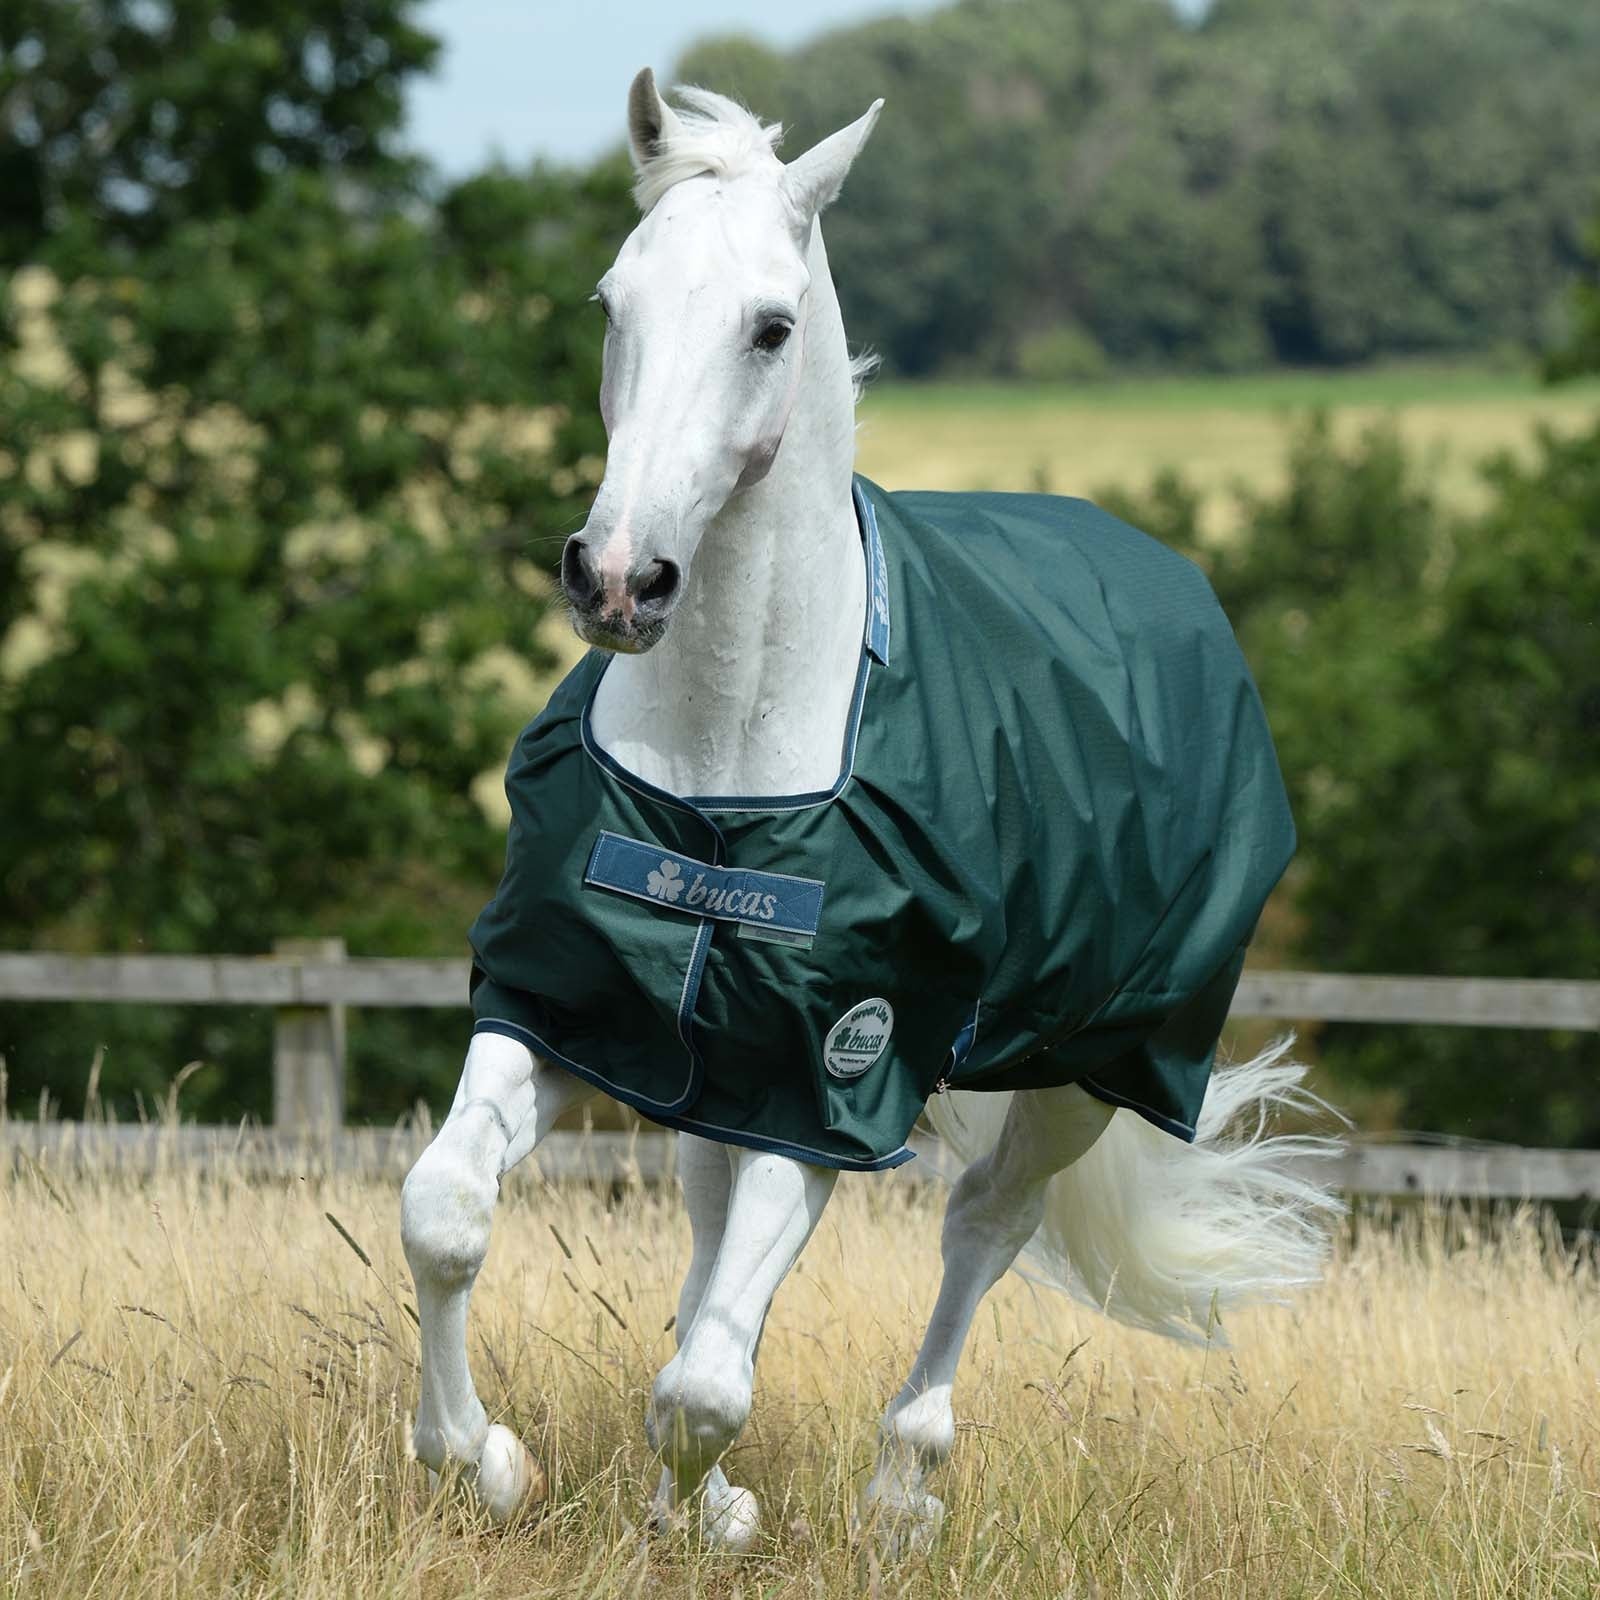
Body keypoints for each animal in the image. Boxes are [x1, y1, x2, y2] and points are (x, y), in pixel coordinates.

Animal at [399, 69, 1342, 1556]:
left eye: (771, 327)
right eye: (613, 301)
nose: (617, 580)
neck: (728, 761)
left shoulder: (840, 1076)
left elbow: (705, 1388)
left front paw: (706, 1510)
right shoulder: (567, 1010)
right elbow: (446, 1214)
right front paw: (480, 1461)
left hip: (1094, 1067)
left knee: (982, 1228)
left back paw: (903, 1486)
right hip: (726, 1071)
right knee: (715, 1224)